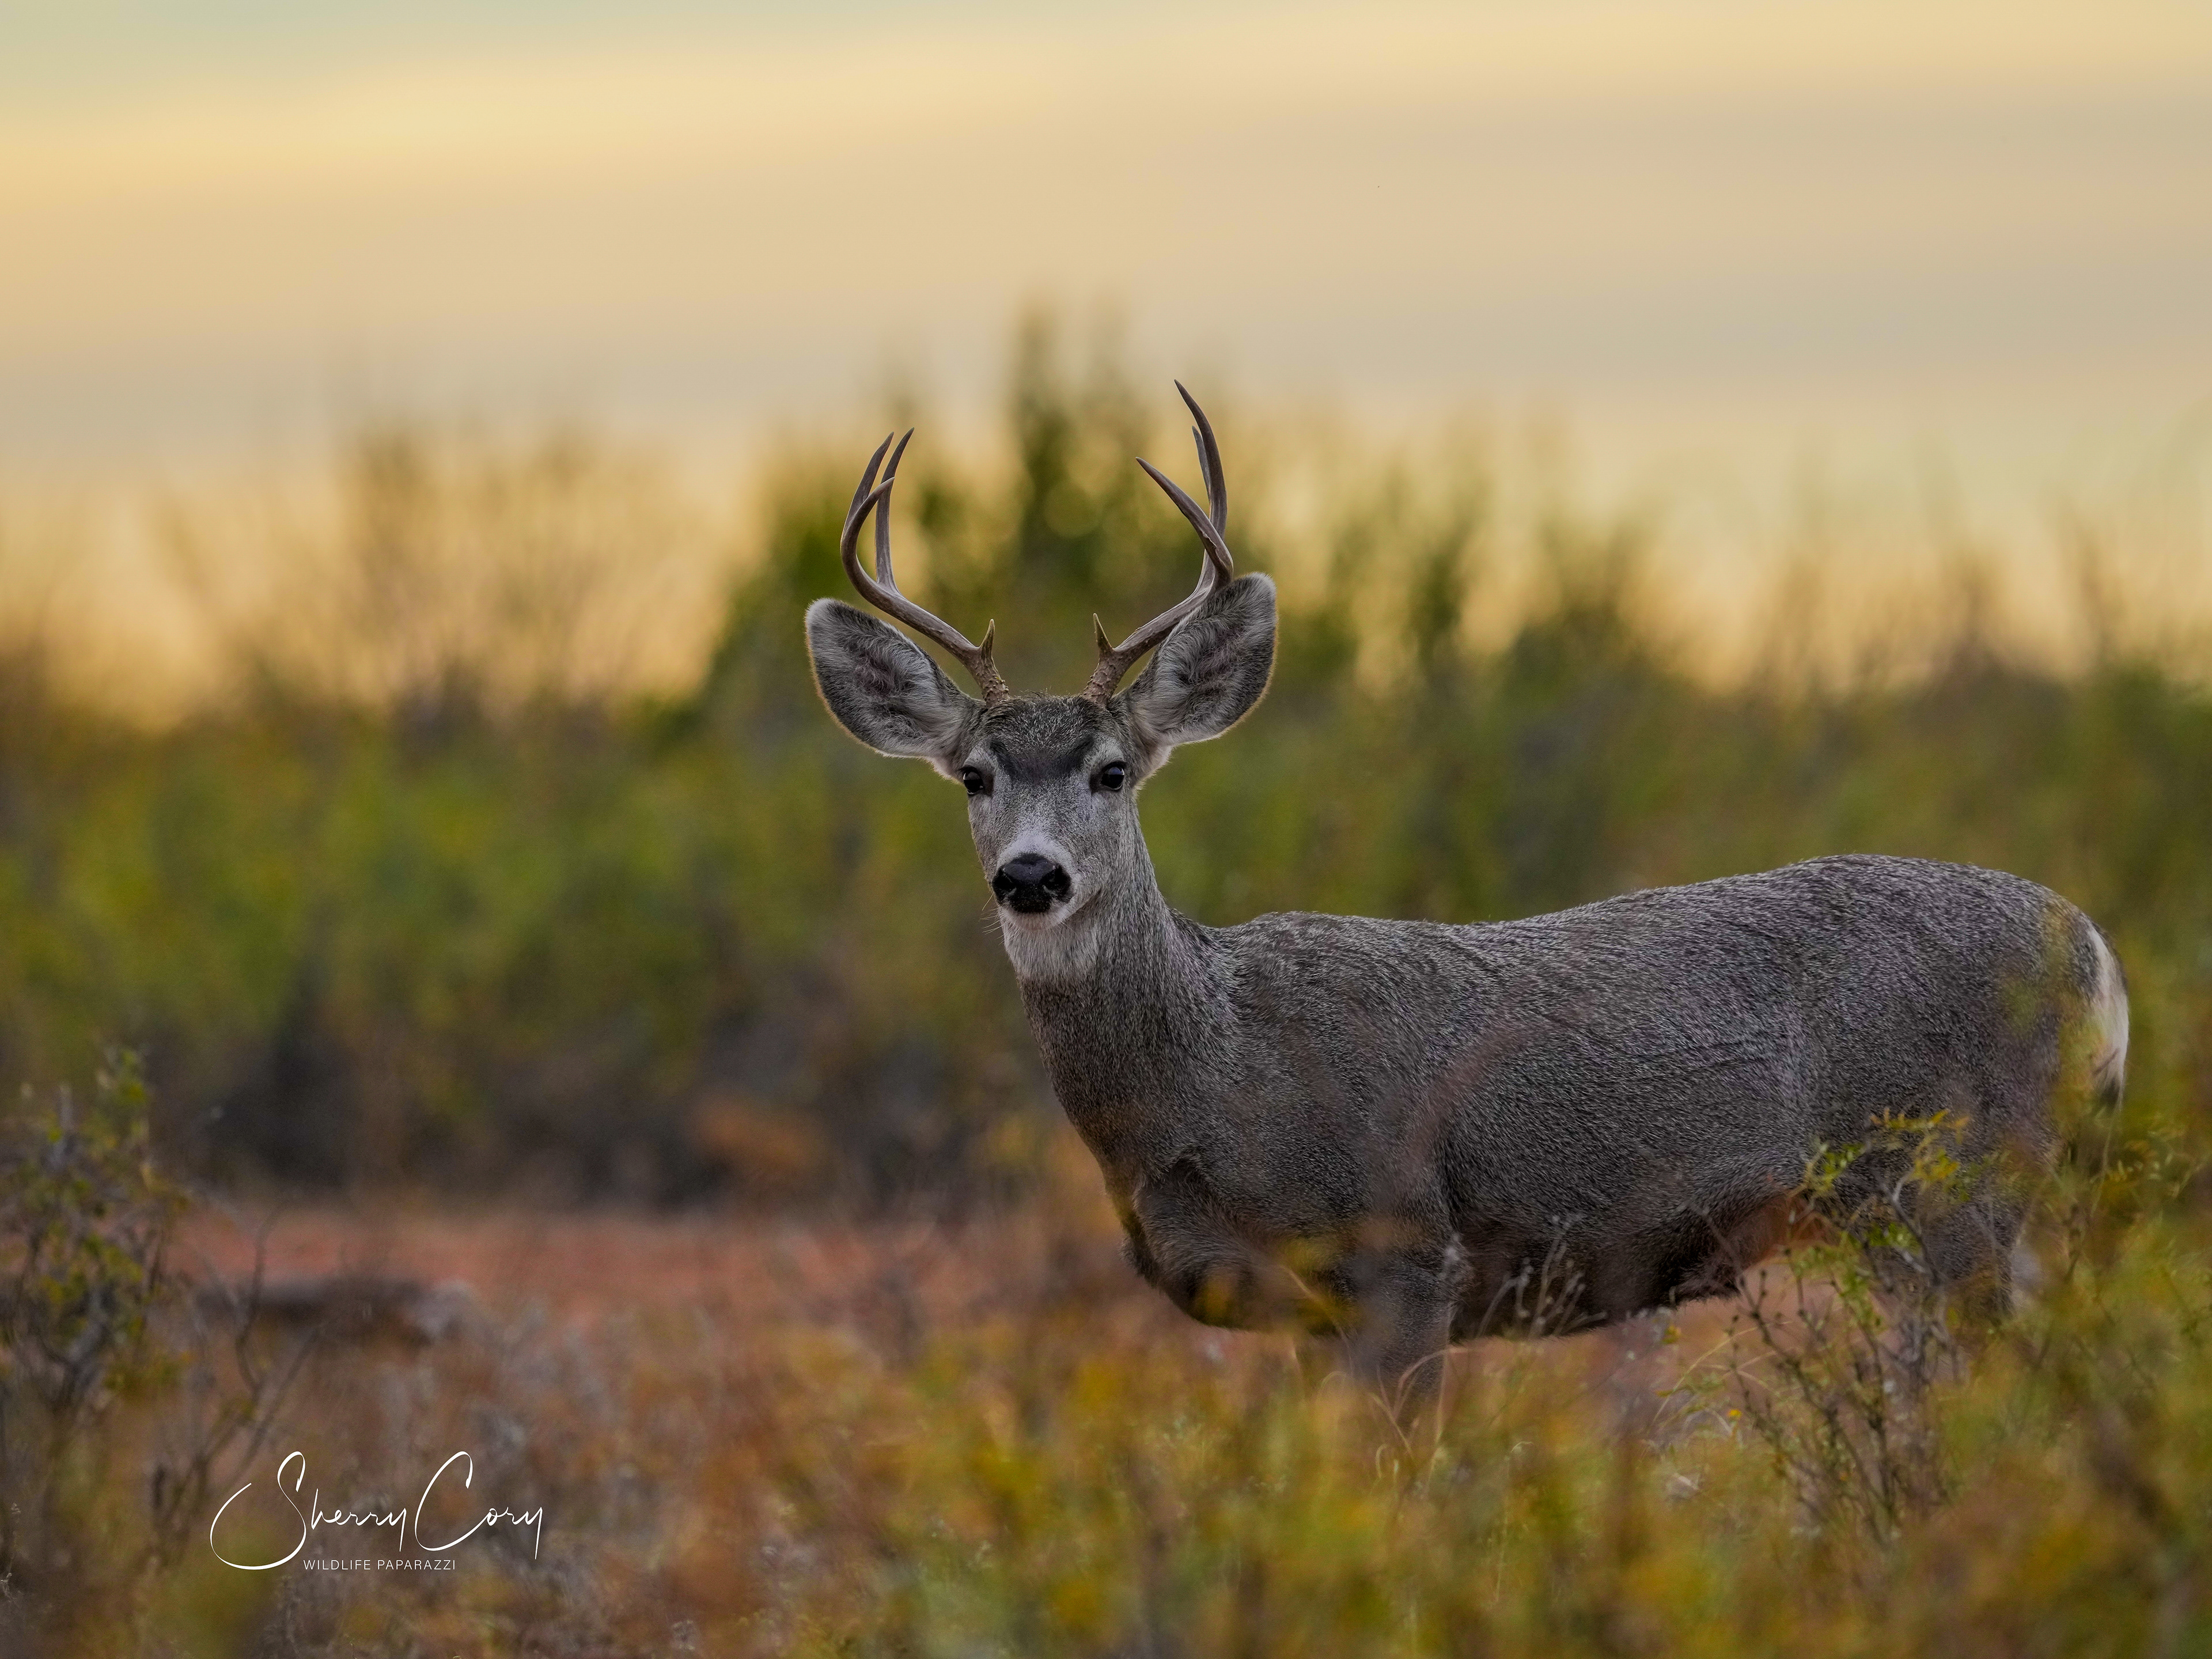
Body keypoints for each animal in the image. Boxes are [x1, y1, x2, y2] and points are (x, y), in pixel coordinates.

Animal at [804, 384, 2130, 1410]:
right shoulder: (1301, 1315)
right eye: (974, 776)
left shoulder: (1403, 1255)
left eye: (1112, 770)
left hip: (1952, 1183)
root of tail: (2097, 955)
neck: (1209, 1076)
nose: (1032, 875)